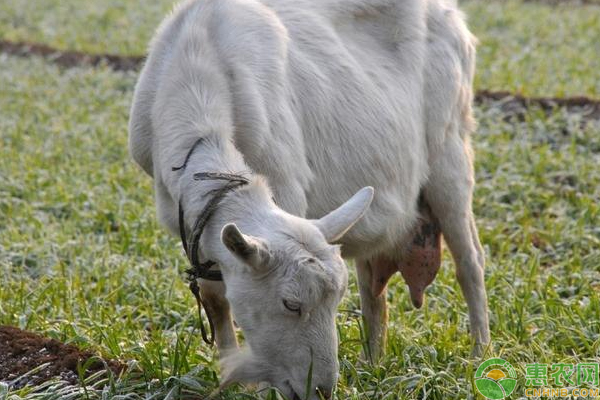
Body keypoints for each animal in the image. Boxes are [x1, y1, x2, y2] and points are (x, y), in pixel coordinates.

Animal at [129, 0, 490, 396]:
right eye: (290, 304)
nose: (321, 390)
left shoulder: (286, 187)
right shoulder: (191, 225)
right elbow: (215, 300)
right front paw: (237, 381)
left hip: (451, 153)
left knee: (470, 261)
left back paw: (480, 355)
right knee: (372, 282)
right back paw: (373, 360)